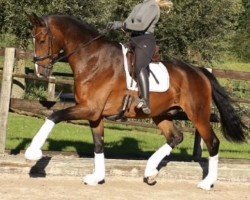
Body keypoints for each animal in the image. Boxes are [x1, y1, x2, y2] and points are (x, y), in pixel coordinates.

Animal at [23, 13, 246, 189]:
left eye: (41, 39)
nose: (39, 71)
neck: (92, 58)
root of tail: (199, 71)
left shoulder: (89, 108)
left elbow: (55, 115)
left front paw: (33, 152)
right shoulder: (95, 114)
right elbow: (98, 145)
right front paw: (97, 178)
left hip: (198, 114)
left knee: (212, 142)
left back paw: (207, 183)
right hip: (161, 114)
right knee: (175, 137)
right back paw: (150, 172)